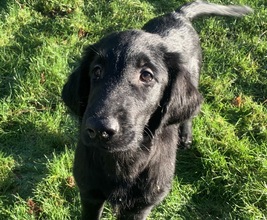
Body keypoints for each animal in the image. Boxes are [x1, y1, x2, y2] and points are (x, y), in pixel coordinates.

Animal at [62, 0, 253, 219]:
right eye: (96, 71)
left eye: (146, 75)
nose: (99, 129)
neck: (122, 160)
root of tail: (177, 15)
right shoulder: (89, 194)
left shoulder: (140, 206)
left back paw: (185, 136)